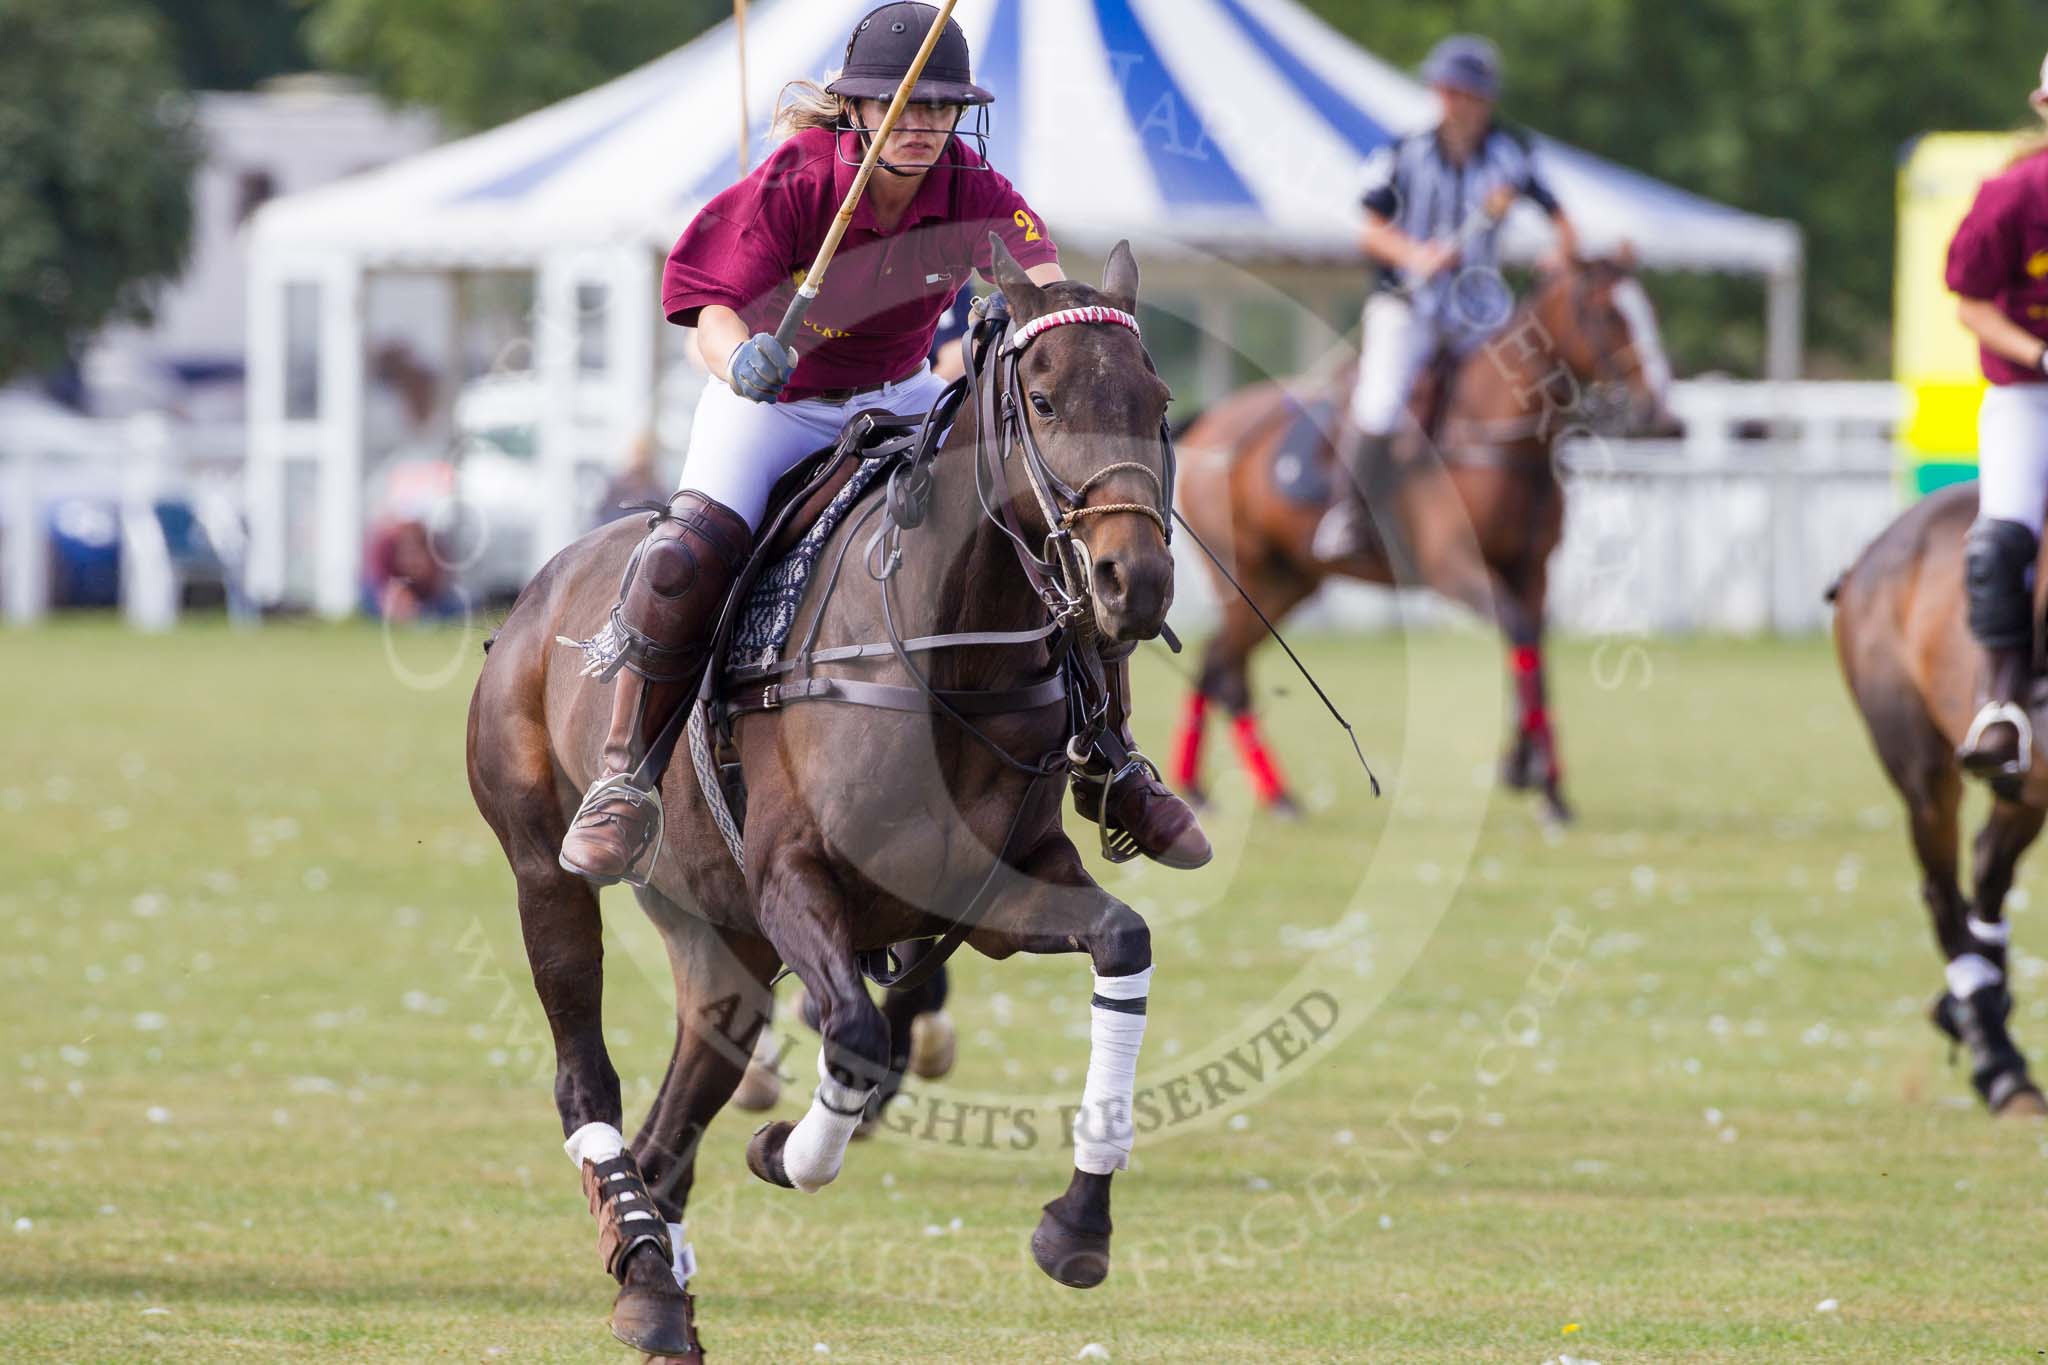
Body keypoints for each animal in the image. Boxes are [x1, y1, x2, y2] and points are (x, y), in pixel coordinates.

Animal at [467, 239, 1179, 1360]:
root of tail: (534, 596)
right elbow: (853, 1028)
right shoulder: (792, 879)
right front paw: (781, 1150)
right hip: (548, 866)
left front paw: (1077, 1225)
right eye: (1045, 398)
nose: (1133, 582)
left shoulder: (991, 892)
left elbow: (1120, 941)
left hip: (718, 930)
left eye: (1156, 401)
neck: (946, 653)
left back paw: (651, 1280)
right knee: (587, 1072)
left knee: (677, 1114)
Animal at [1171, 257, 1679, 825]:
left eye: (1649, 309)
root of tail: (1208, 421)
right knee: (1227, 671)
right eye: (1609, 315)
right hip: (1245, 573)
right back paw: (1264, 793)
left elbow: (1532, 647)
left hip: (1284, 583)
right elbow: (1520, 633)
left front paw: (1544, 785)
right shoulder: (1452, 568)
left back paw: (1218, 790)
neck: (1495, 433)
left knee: (1216, 660)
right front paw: (1527, 771)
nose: (1662, 415)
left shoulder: (1531, 570)